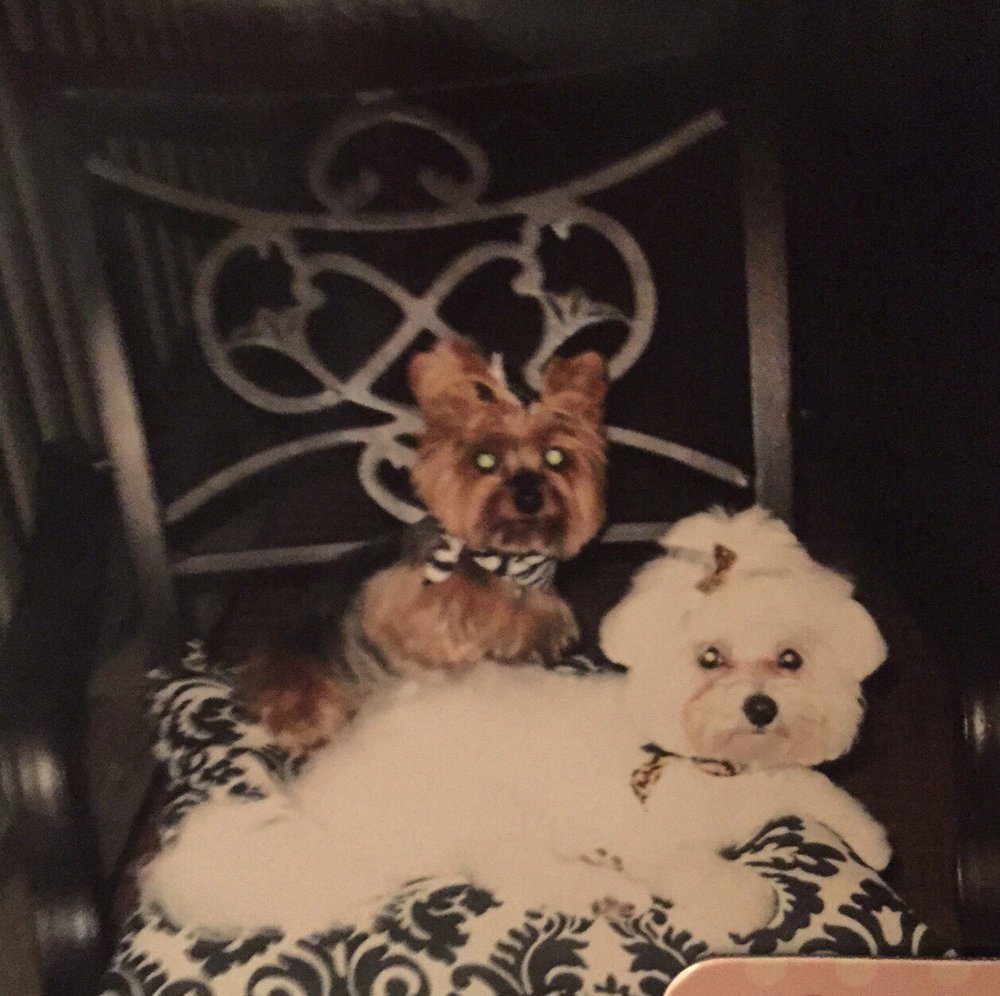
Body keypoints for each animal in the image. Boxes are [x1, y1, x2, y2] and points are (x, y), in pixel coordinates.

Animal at [142, 506, 890, 951]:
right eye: (710, 658)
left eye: (791, 659)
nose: (761, 707)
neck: (710, 763)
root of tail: (314, 809)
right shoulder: (659, 840)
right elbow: (713, 873)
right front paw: (746, 899)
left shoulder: (780, 778)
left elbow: (817, 788)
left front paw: (871, 840)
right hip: (485, 807)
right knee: (512, 870)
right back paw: (609, 890)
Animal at [238, 336, 608, 755]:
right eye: (485, 459)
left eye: (556, 456)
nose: (528, 495)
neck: (501, 560)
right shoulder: (390, 600)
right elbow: (433, 632)